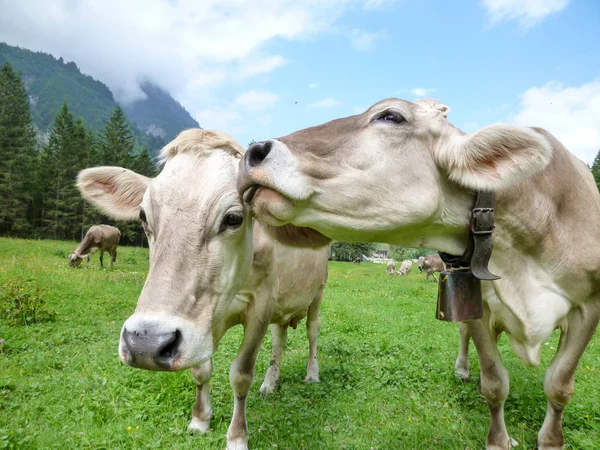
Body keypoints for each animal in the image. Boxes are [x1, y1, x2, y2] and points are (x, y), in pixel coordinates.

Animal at [76, 128, 328, 450]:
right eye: (143, 216)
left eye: (234, 218)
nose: (146, 345)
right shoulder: (204, 319)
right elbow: (201, 369)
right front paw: (200, 420)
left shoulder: (261, 303)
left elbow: (241, 373)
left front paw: (237, 436)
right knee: (279, 340)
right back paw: (270, 383)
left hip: (318, 291)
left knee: (312, 332)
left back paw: (312, 374)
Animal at [238, 96, 600, 448]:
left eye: (391, 116)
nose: (252, 152)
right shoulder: (478, 305)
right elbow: (495, 381)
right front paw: (499, 439)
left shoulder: (589, 308)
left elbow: (559, 385)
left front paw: (551, 440)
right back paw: (463, 370)